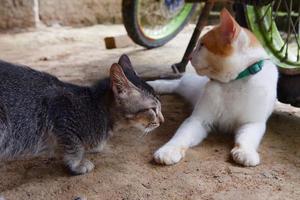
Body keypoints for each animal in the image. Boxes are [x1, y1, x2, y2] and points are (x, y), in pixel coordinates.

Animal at [0, 54, 164, 174]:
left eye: (160, 106)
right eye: (153, 109)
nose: (162, 121)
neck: (96, 106)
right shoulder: (62, 116)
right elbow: (75, 147)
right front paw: (76, 164)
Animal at [149, 8, 278, 166]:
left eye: (202, 45)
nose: (189, 57)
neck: (233, 82)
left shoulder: (253, 123)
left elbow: (247, 138)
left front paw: (245, 152)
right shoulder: (198, 119)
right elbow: (181, 136)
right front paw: (169, 150)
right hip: (191, 85)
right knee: (177, 83)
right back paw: (154, 85)